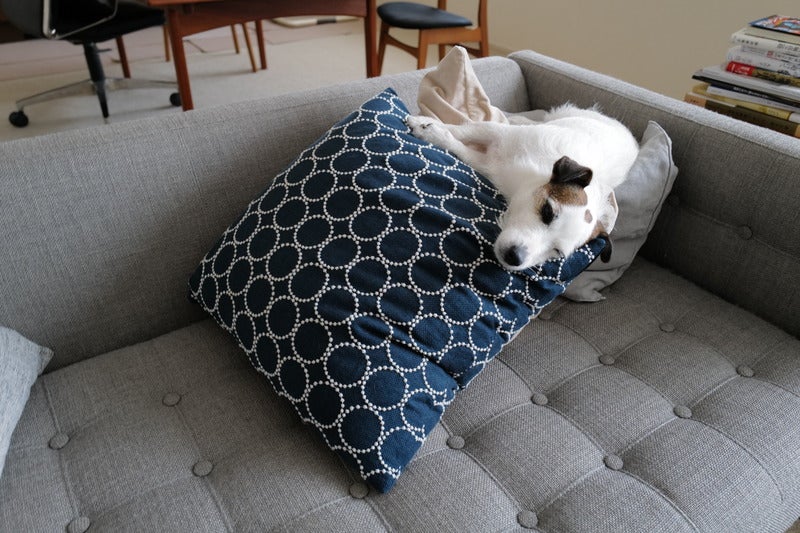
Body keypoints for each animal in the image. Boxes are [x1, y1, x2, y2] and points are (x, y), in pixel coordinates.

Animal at [405, 104, 639, 271]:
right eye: (547, 211)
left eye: (557, 252)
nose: (515, 257)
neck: (526, 178)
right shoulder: (502, 134)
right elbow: (464, 129)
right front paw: (425, 125)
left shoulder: (490, 166)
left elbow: (461, 147)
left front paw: (435, 134)